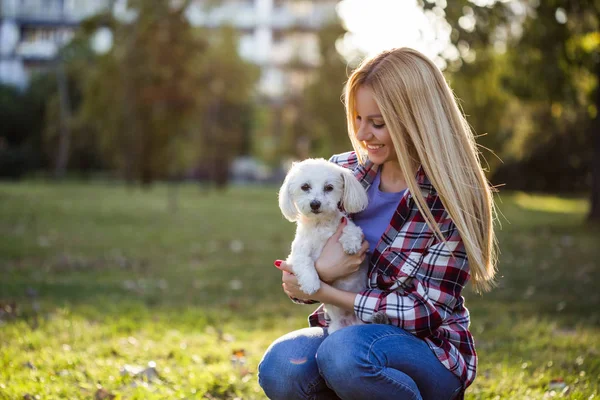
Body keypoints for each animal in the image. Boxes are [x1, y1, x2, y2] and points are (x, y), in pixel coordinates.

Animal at [278, 158, 370, 332]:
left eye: (329, 188)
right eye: (305, 187)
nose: (315, 203)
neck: (320, 226)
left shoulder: (349, 226)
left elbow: (352, 230)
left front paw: (350, 244)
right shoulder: (296, 255)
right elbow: (305, 262)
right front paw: (311, 283)